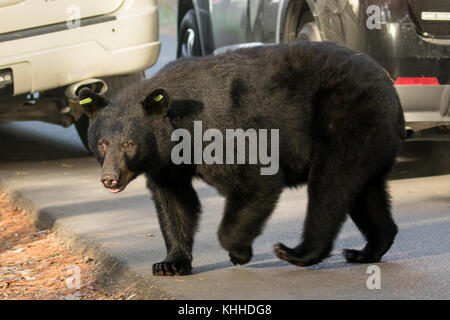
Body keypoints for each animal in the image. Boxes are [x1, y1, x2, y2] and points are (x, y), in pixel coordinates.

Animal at [79, 40, 406, 276]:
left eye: (130, 144)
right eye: (103, 144)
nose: (110, 179)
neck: (180, 127)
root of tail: (390, 86)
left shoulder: (221, 131)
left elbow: (254, 180)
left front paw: (239, 252)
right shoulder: (167, 161)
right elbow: (175, 200)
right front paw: (170, 263)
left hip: (344, 118)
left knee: (331, 185)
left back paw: (297, 252)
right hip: (368, 139)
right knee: (364, 192)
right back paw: (367, 250)